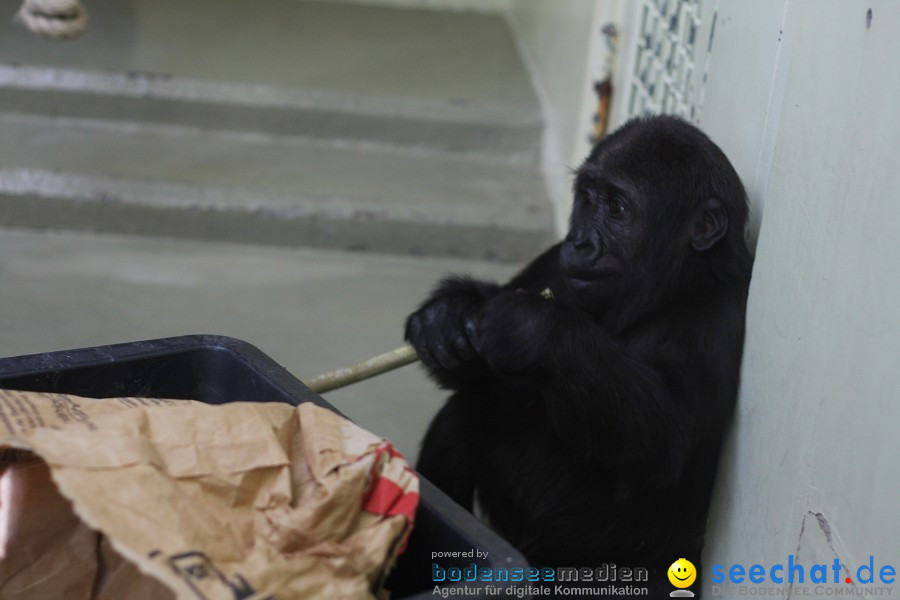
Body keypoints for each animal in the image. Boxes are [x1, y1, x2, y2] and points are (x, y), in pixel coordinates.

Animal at [406, 115, 752, 592]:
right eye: (588, 200)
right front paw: (448, 315)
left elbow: (664, 441)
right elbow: (474, 372)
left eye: (618, 209)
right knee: (471, 409)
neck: (672, 291)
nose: (581, 241)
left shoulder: (717, 323)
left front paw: (531, 328)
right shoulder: (554, 265)